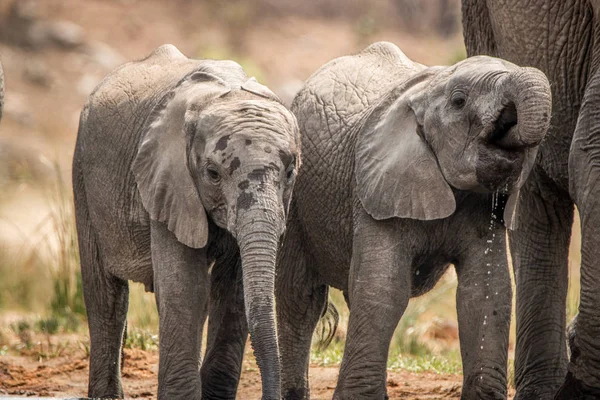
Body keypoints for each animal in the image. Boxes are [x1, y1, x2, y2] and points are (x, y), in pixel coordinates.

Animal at [72, 43, 300, 400]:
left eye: (291, 171)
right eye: (212, 173)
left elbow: (232, 293)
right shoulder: (168, 180)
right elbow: (186, 290)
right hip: (82, 172)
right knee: (106, 296)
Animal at [274, 41, 552, 400]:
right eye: (459, 101)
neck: (428, 91)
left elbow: (485, 291)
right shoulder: (376, 190)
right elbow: (385, 288)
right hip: (295, 199)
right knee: (300, 298)